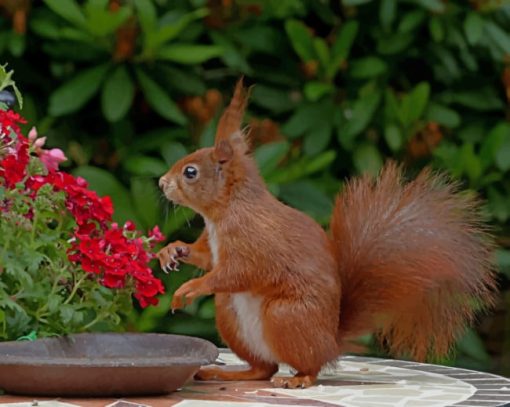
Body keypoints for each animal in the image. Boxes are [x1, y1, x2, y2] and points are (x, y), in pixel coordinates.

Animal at [157, 79, 496, 388]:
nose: (161, 183)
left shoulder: (253, 240)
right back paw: (228, 373)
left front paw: (190, 288)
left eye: (190, 172)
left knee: (308, 365)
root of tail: (331, 342)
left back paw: (299, 378)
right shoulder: (214, 244)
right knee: (264, 368)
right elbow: (206, 258)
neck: (225, 211)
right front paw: (172, 250)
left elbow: (237, 272)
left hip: (285, 316)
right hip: (229, 315)